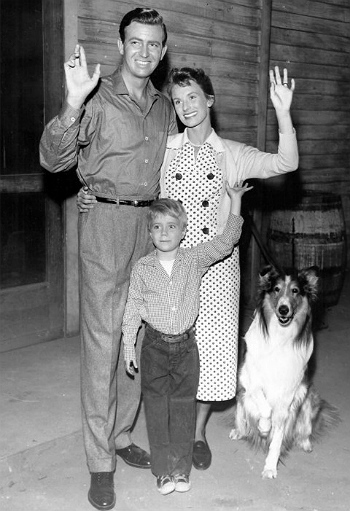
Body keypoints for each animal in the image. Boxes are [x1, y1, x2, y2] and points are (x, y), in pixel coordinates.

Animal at [230, 268, 340, 480]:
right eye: (276, 289)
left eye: (295, 291)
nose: (283, 309)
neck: (279, 336)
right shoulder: (248, 379)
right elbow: (264, 407)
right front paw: (264, 427)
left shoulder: (287, 396)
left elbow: (277, 437)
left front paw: (270, 466)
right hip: (241, 395)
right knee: (241, 414)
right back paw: (240, 431)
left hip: (308, 397)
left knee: (304, 428)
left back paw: (305, 442)